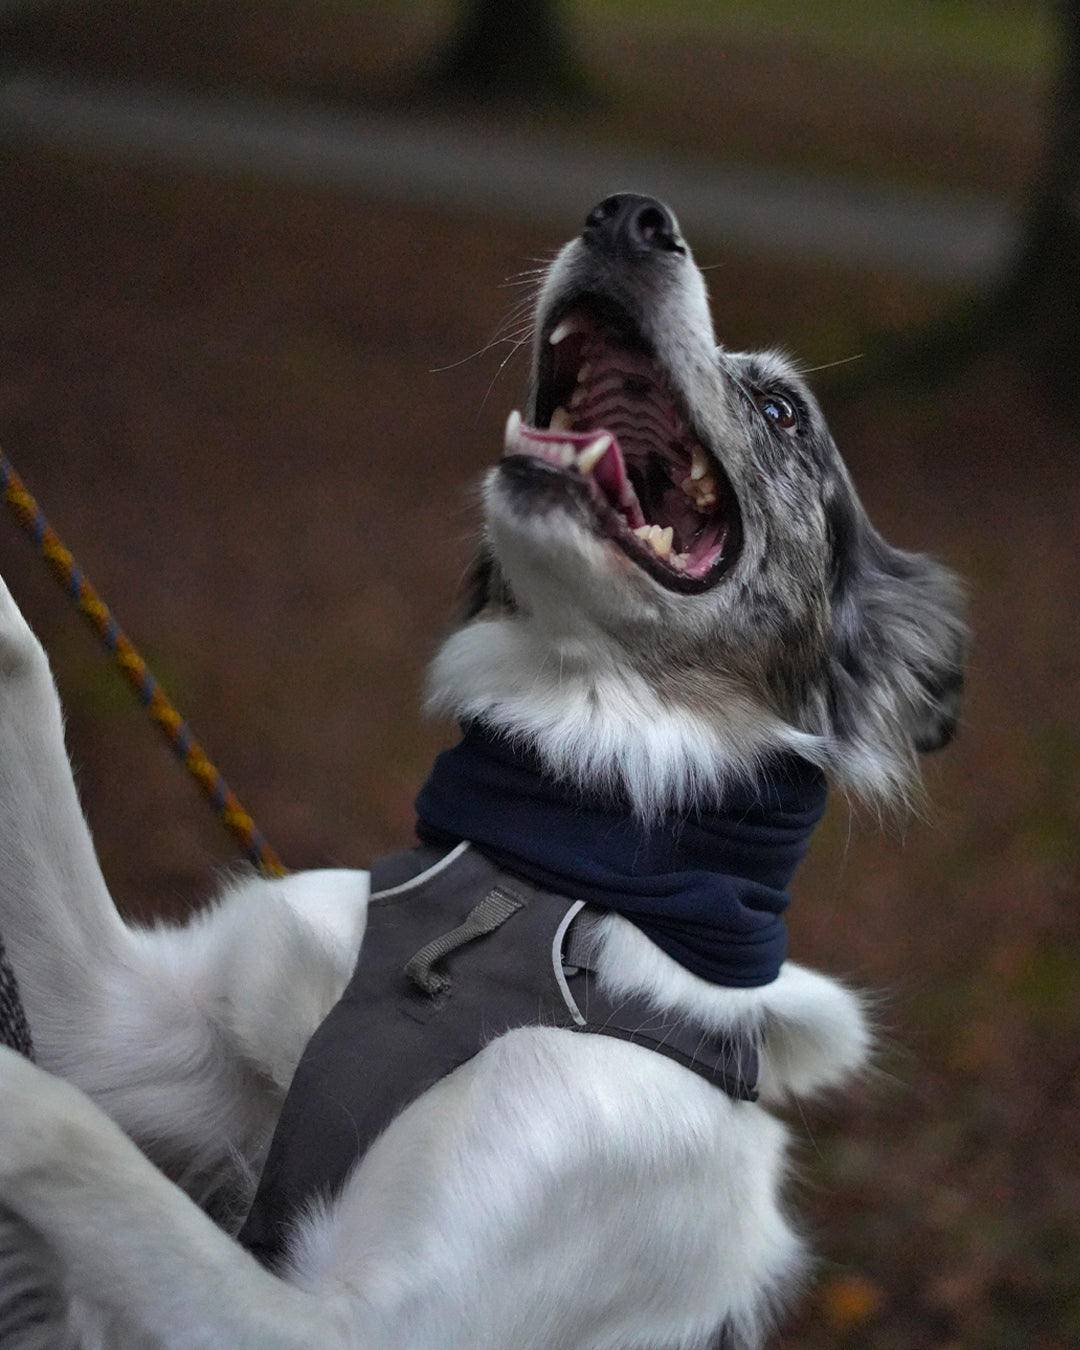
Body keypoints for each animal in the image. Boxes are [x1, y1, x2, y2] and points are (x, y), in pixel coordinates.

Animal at [0, 193, 966, 1350]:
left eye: (782, 410)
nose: (628, 216)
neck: (540, 880)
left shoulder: (355, 1323)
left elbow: (62, 1129)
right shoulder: (121, 1026)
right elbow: (29, 674)